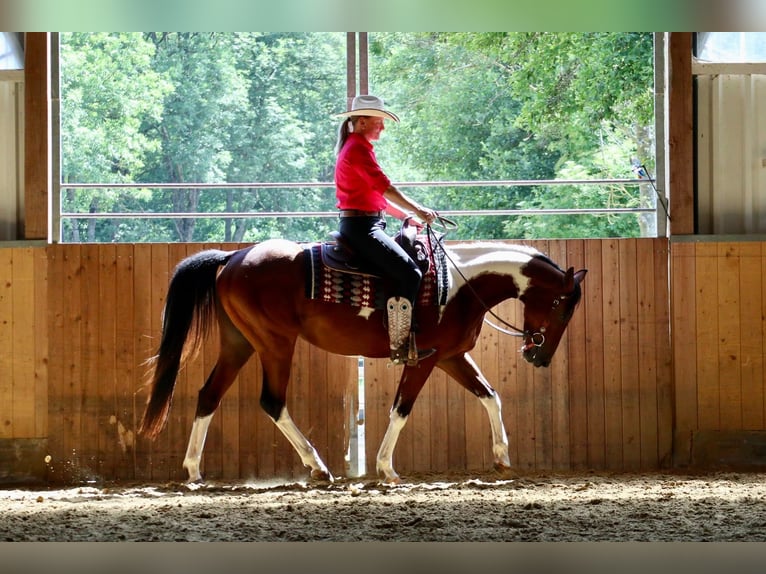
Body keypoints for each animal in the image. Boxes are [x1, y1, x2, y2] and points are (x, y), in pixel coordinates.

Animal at [137, 227, 586, 484]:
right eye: (561, 305)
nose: (539, 357)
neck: (458, 286)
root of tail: (233, 257)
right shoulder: (425, 359)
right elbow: (401, 409)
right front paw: (386, 467)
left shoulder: (450, 357)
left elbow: (490, 396)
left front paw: (502, 459)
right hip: (275, 343)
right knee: (272, 401)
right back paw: (318, 467)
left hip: (239, 343)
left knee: (208, 396)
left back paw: (194, 469)